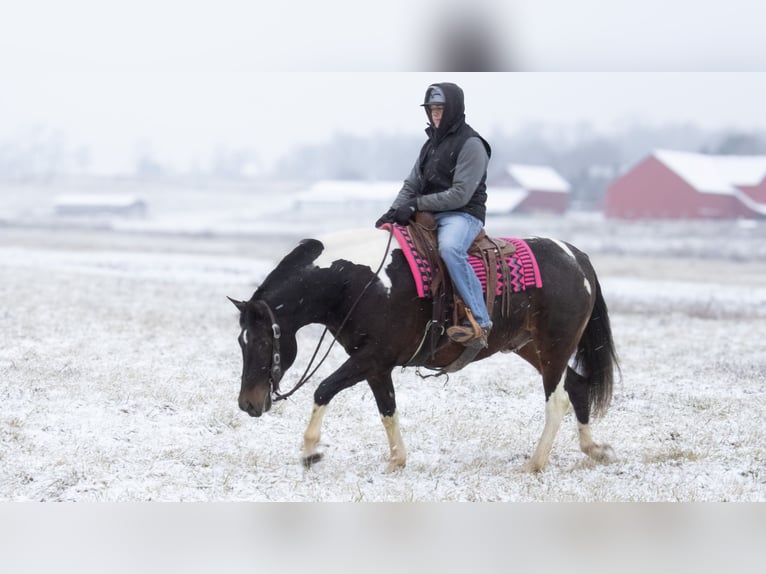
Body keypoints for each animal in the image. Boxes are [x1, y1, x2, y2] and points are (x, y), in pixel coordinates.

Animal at [231, 227, 620, 474]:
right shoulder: (376, 366)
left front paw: (311, 451)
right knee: (578, 386)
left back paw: (535, 463)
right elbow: (387, 409)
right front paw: (396, 461)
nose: (247, 403)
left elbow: (323, 389)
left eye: (263, 341)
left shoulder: (372, 357)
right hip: (532, 348)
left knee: (557, 399)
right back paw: (594, 450)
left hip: (555, 345)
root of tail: (576, 257)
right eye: (241, 341)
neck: (357, 282)